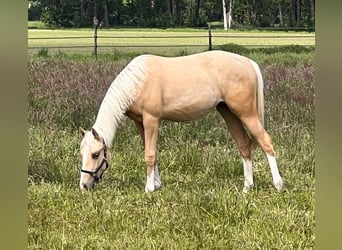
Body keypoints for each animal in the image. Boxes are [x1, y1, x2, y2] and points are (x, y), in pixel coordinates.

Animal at [79, 49, 284, 192]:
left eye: (96, 154)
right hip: (229, 113)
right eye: (82, 153)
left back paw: (278, 184)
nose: (84, 185)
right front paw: (157, 184)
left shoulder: (151, 120)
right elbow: (151, 151)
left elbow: (150, 154)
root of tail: (247, 62)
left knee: (266, 142)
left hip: (247, 114)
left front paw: (149, 188)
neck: (138, 81)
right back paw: (247, 187)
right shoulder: (140, 122)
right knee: (244, 145)